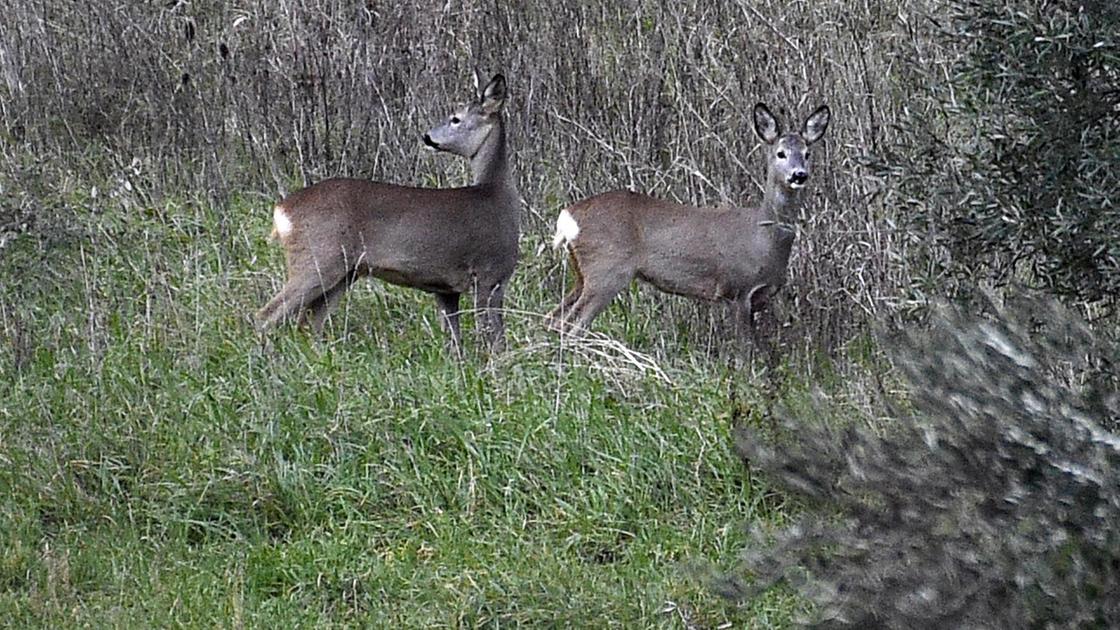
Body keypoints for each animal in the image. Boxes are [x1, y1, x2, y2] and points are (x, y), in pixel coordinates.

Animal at [256, 73, 517, 349]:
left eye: (456, 118)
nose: (427, 136)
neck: (496, 195)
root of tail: (281, 210)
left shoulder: (446, 288)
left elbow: (454, 342)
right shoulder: (489, 275)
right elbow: (495, 339)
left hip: (343, 273)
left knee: (309, 322)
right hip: (317, 257)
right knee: (266, 315)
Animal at [546, 100, 828, 345]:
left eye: (807, 153)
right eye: (780, 153)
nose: (799, 175)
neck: (763, 237)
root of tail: (569, 215)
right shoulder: (737, 289)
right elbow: (745, 354)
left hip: (582, 272)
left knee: (554, 318)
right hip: (606, 269)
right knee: (572, 326)